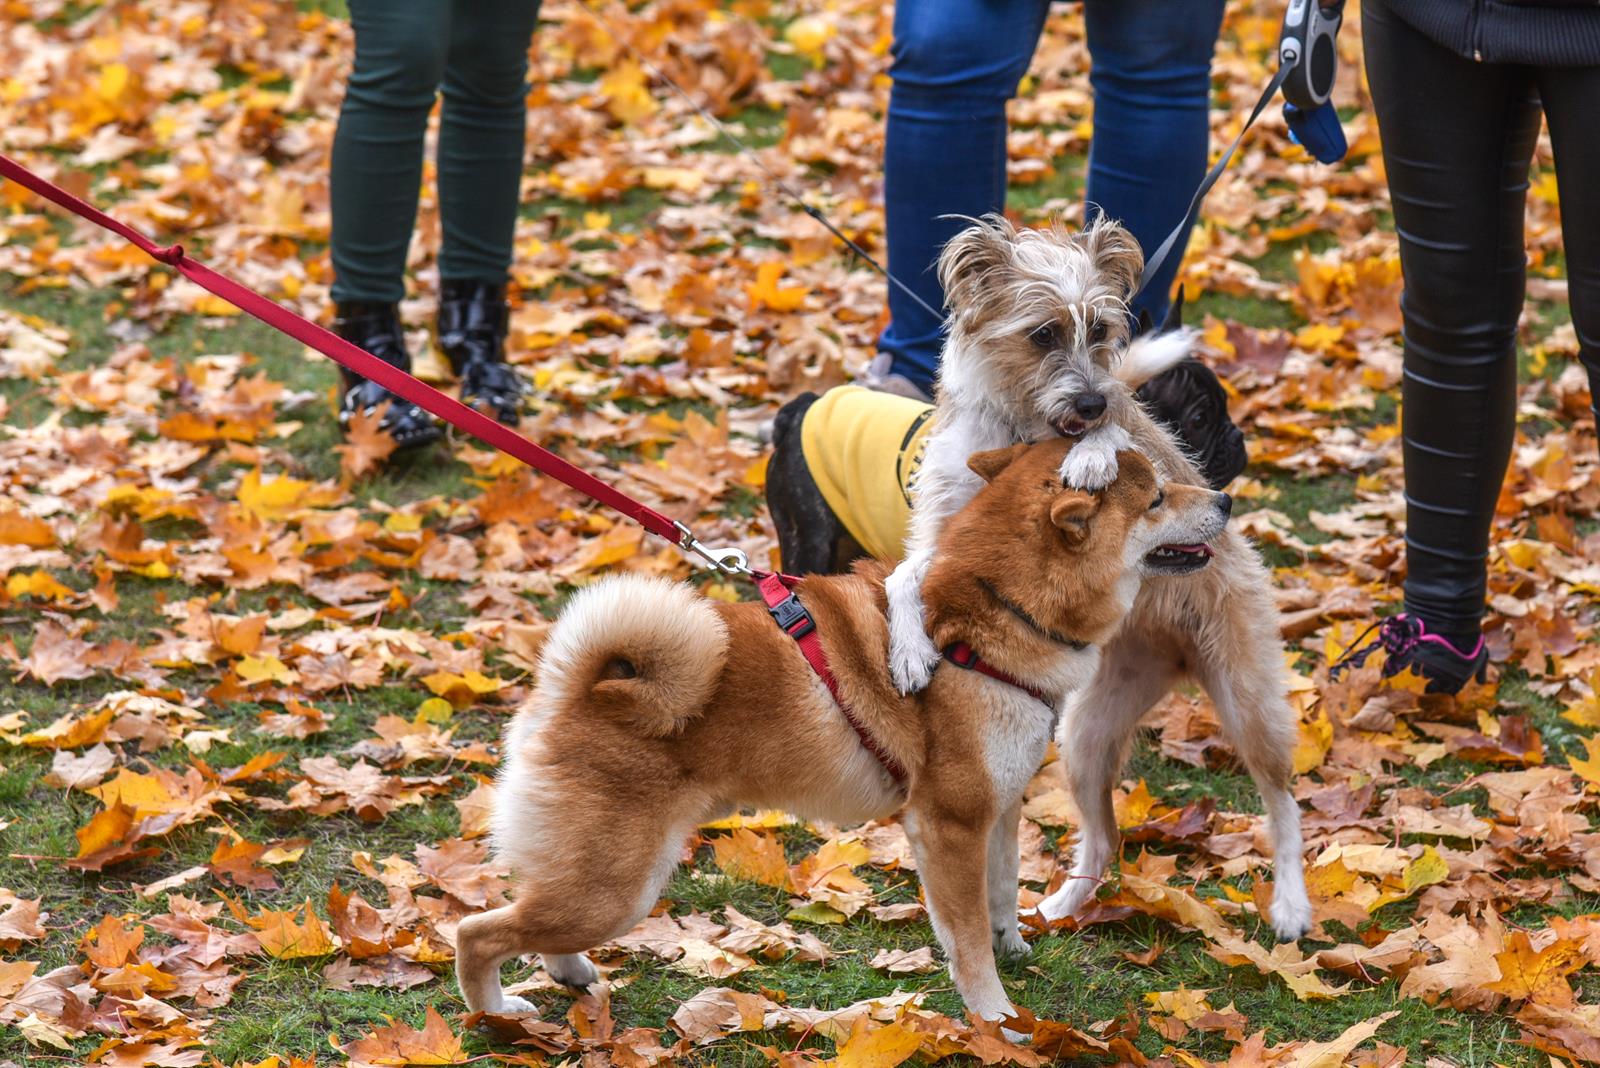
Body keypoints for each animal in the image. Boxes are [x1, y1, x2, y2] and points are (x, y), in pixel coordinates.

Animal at [457, 438, 1228, 1029]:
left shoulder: (1000, 807)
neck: (988, 616)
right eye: (1157, 498)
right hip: (621, 888)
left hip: (601, 885)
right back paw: (497, 1013)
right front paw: (997, 1016)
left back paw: (570, 975)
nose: (1223, 499)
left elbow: (1002, 892)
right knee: (477, 931)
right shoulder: (948, 824)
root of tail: (574, 688)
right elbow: (966, 937)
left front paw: (1012, 945)